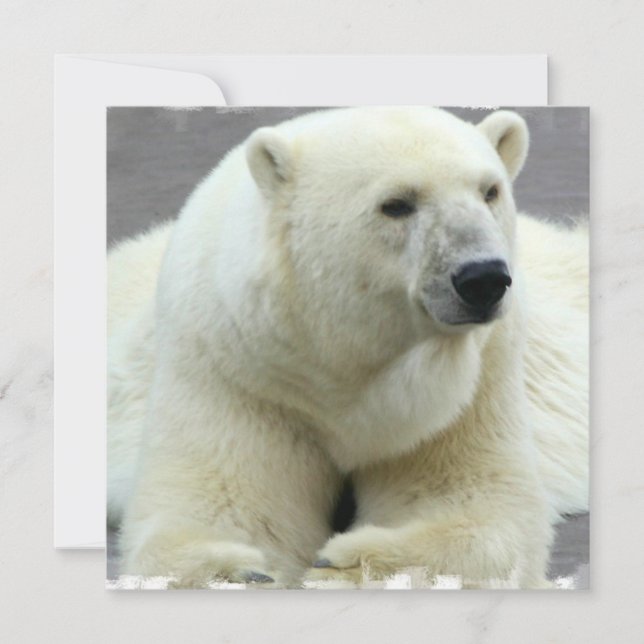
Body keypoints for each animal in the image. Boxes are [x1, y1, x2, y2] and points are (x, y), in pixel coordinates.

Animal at [107, 107, 588, 589]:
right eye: (396, 204)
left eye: (490, 191)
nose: (483, 278)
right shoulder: (237, 369)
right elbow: (225, 506)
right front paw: (239, 570)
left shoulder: (474, 380)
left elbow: (476, 501)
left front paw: (345, 564)